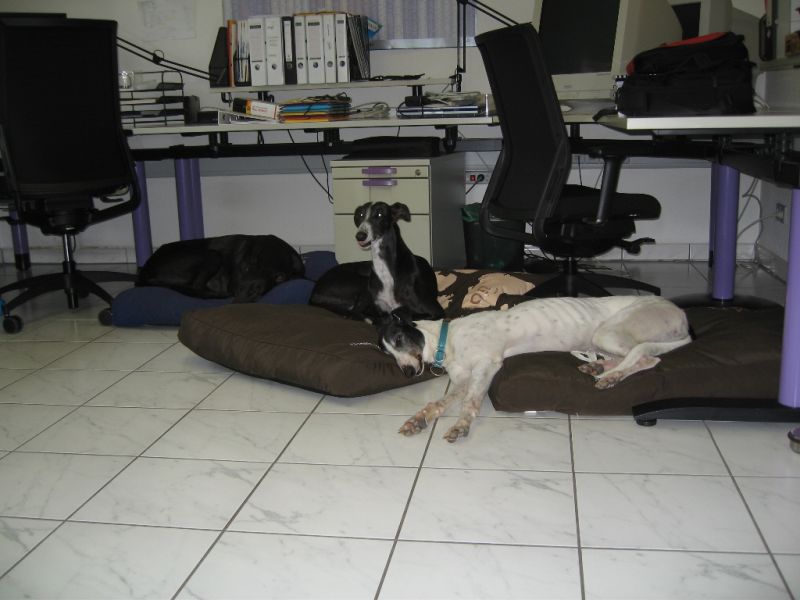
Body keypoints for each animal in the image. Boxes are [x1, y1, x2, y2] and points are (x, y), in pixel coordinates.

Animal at [137, 234, 304, 302]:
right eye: (249, 266)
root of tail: (144, 271)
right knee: (197, 286)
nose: (248, 294)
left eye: (280, 277)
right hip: (212, 255)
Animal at [310, 201, 443, 323]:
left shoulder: (435, 311)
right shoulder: (380, 307)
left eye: (379, 214)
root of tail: (313, 294)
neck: (385, 268)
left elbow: (406, 315)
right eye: (361, 214)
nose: (360, 236)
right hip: (360, 284)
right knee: (355, 312)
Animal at [379, 295, 692, 442]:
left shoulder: (486, 365)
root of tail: (683, 317)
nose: (407, 373)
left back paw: (610, 376)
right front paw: (418, 419)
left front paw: (461, 426)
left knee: (646, 358)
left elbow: (470, 404)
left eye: (399, 340)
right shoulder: (462, 379)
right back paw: (598, 367)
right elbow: (438, 402)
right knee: (640, 357)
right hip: (602, 340)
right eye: (387, 353)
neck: (449, 338)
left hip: (608, 333)